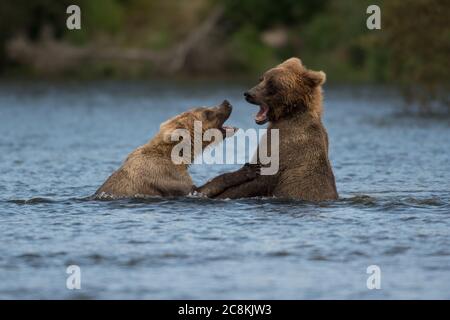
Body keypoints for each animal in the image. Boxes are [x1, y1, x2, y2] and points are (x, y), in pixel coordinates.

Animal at [95, 101, 258, 199]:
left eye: (206, 106)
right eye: (207, 112)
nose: (226, 102)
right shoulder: (165, 176)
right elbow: (199, 189)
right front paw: (248, 169)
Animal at [211, 57, 338, 201]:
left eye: (272, 84)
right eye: (261, 79)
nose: (248, 94)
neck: (288, 115)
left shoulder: (284, 150)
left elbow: (257, 181)